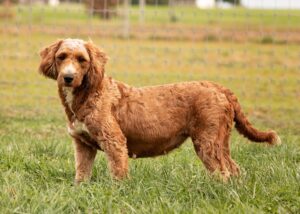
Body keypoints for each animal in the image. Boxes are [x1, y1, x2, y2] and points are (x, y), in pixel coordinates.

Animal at [38, 38, 282, 182]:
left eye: (82, 59)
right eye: (61, 57)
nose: (68, 77)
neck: (89, 93)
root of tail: (218, 87)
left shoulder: (114, 140)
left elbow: (118, 172)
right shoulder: (83, 144)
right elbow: (82, 173)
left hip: (207, 142)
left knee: (224, 173)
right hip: (221, 141)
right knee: (235, 170)